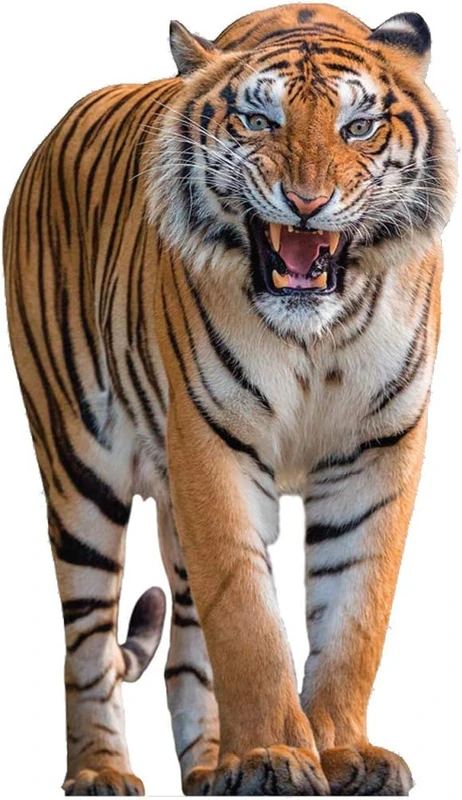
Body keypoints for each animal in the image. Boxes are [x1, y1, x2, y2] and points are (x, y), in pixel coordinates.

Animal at [3, 1, 456, 796]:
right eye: (257, 121)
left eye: (358, 128)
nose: (307, 203)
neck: (318, 338)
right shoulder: (211, 445)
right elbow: (246, 620)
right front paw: (273, 755)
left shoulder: (377, 452)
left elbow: (354, 616)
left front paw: (344, 752)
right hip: (77, 467)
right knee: (87, 643)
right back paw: (102, 770)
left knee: (185, 654)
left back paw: (210, 767)